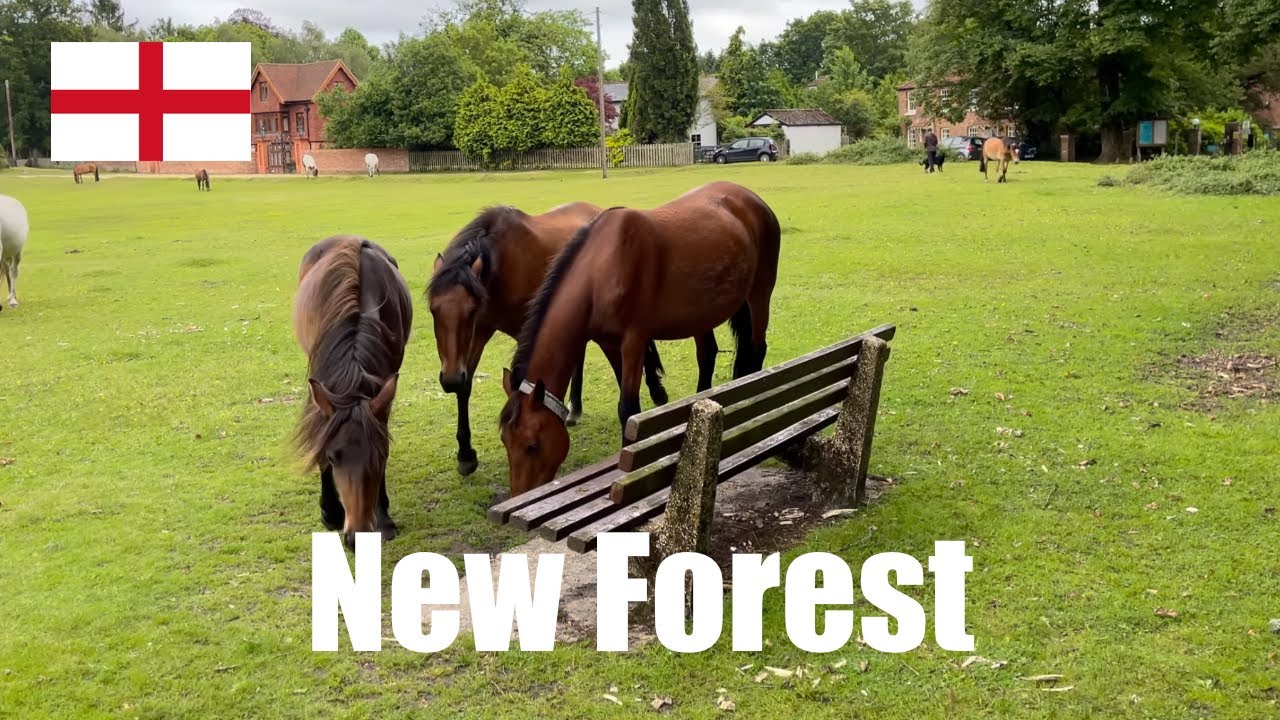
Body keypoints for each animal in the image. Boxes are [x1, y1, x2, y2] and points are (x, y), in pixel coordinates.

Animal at [427, 202, 670, 476]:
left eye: (469, 311)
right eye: (433, 310)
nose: (449, 379)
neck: (502, 262)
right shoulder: (479, 332)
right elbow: (466, 386)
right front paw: (466, 453)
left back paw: (656, 391)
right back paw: (575, 408)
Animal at [498, 181, 781, 496]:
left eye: (532, 445)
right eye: (506, 442)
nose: (520, 495)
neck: (602, 268)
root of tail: (752, 199)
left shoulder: (633, 342)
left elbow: (628, 408)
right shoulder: (610, 344)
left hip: (759, 294)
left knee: (756, 350)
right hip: (703, 313)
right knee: (708, 355)